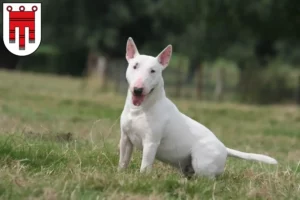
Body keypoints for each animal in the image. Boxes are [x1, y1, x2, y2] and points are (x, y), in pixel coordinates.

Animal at [118, 37, 278, 178]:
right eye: (135, 66)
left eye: (153, 71)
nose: (138, 89)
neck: (139, 110)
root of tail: (225, 149)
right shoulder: (125, 139)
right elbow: (123, 160)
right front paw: (121, 174)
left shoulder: (151, 142)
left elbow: (145, 165)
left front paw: (142, 177)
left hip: (201, 162)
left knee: (208, 179)